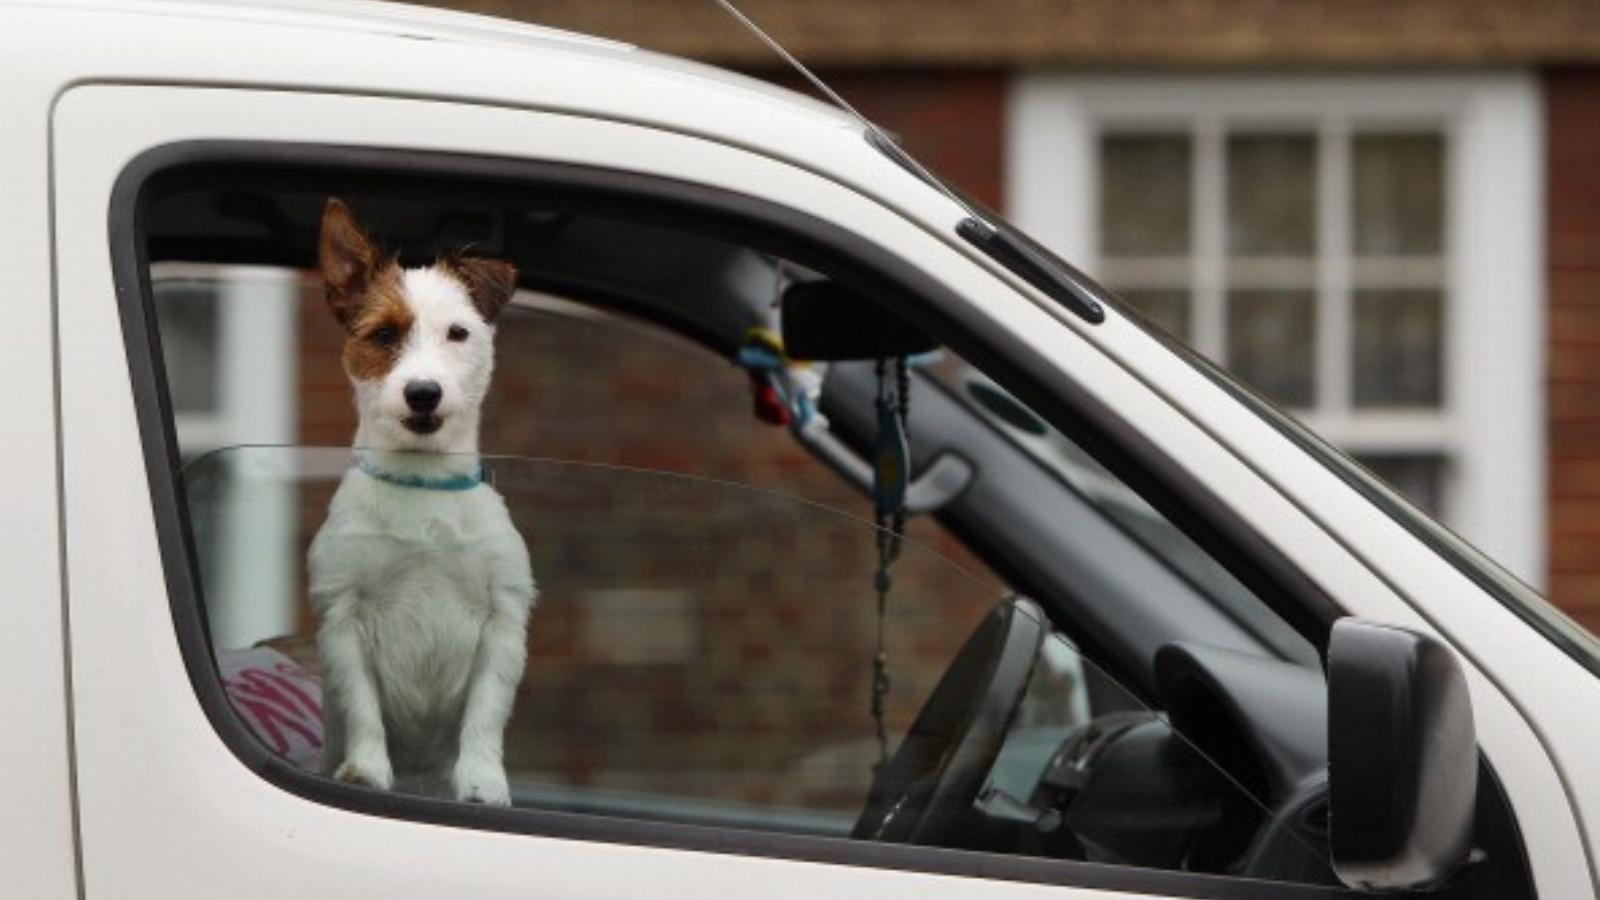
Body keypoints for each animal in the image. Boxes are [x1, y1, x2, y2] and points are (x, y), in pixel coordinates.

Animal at [305, 199, 537, 800]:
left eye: (458, 333)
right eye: (384, 335)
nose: (423, 393)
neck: (423, 483)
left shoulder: (502, 625)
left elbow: (484, 714)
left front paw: (482, 781)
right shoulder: (344, 619)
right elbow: (363, 707)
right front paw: (365, 769)